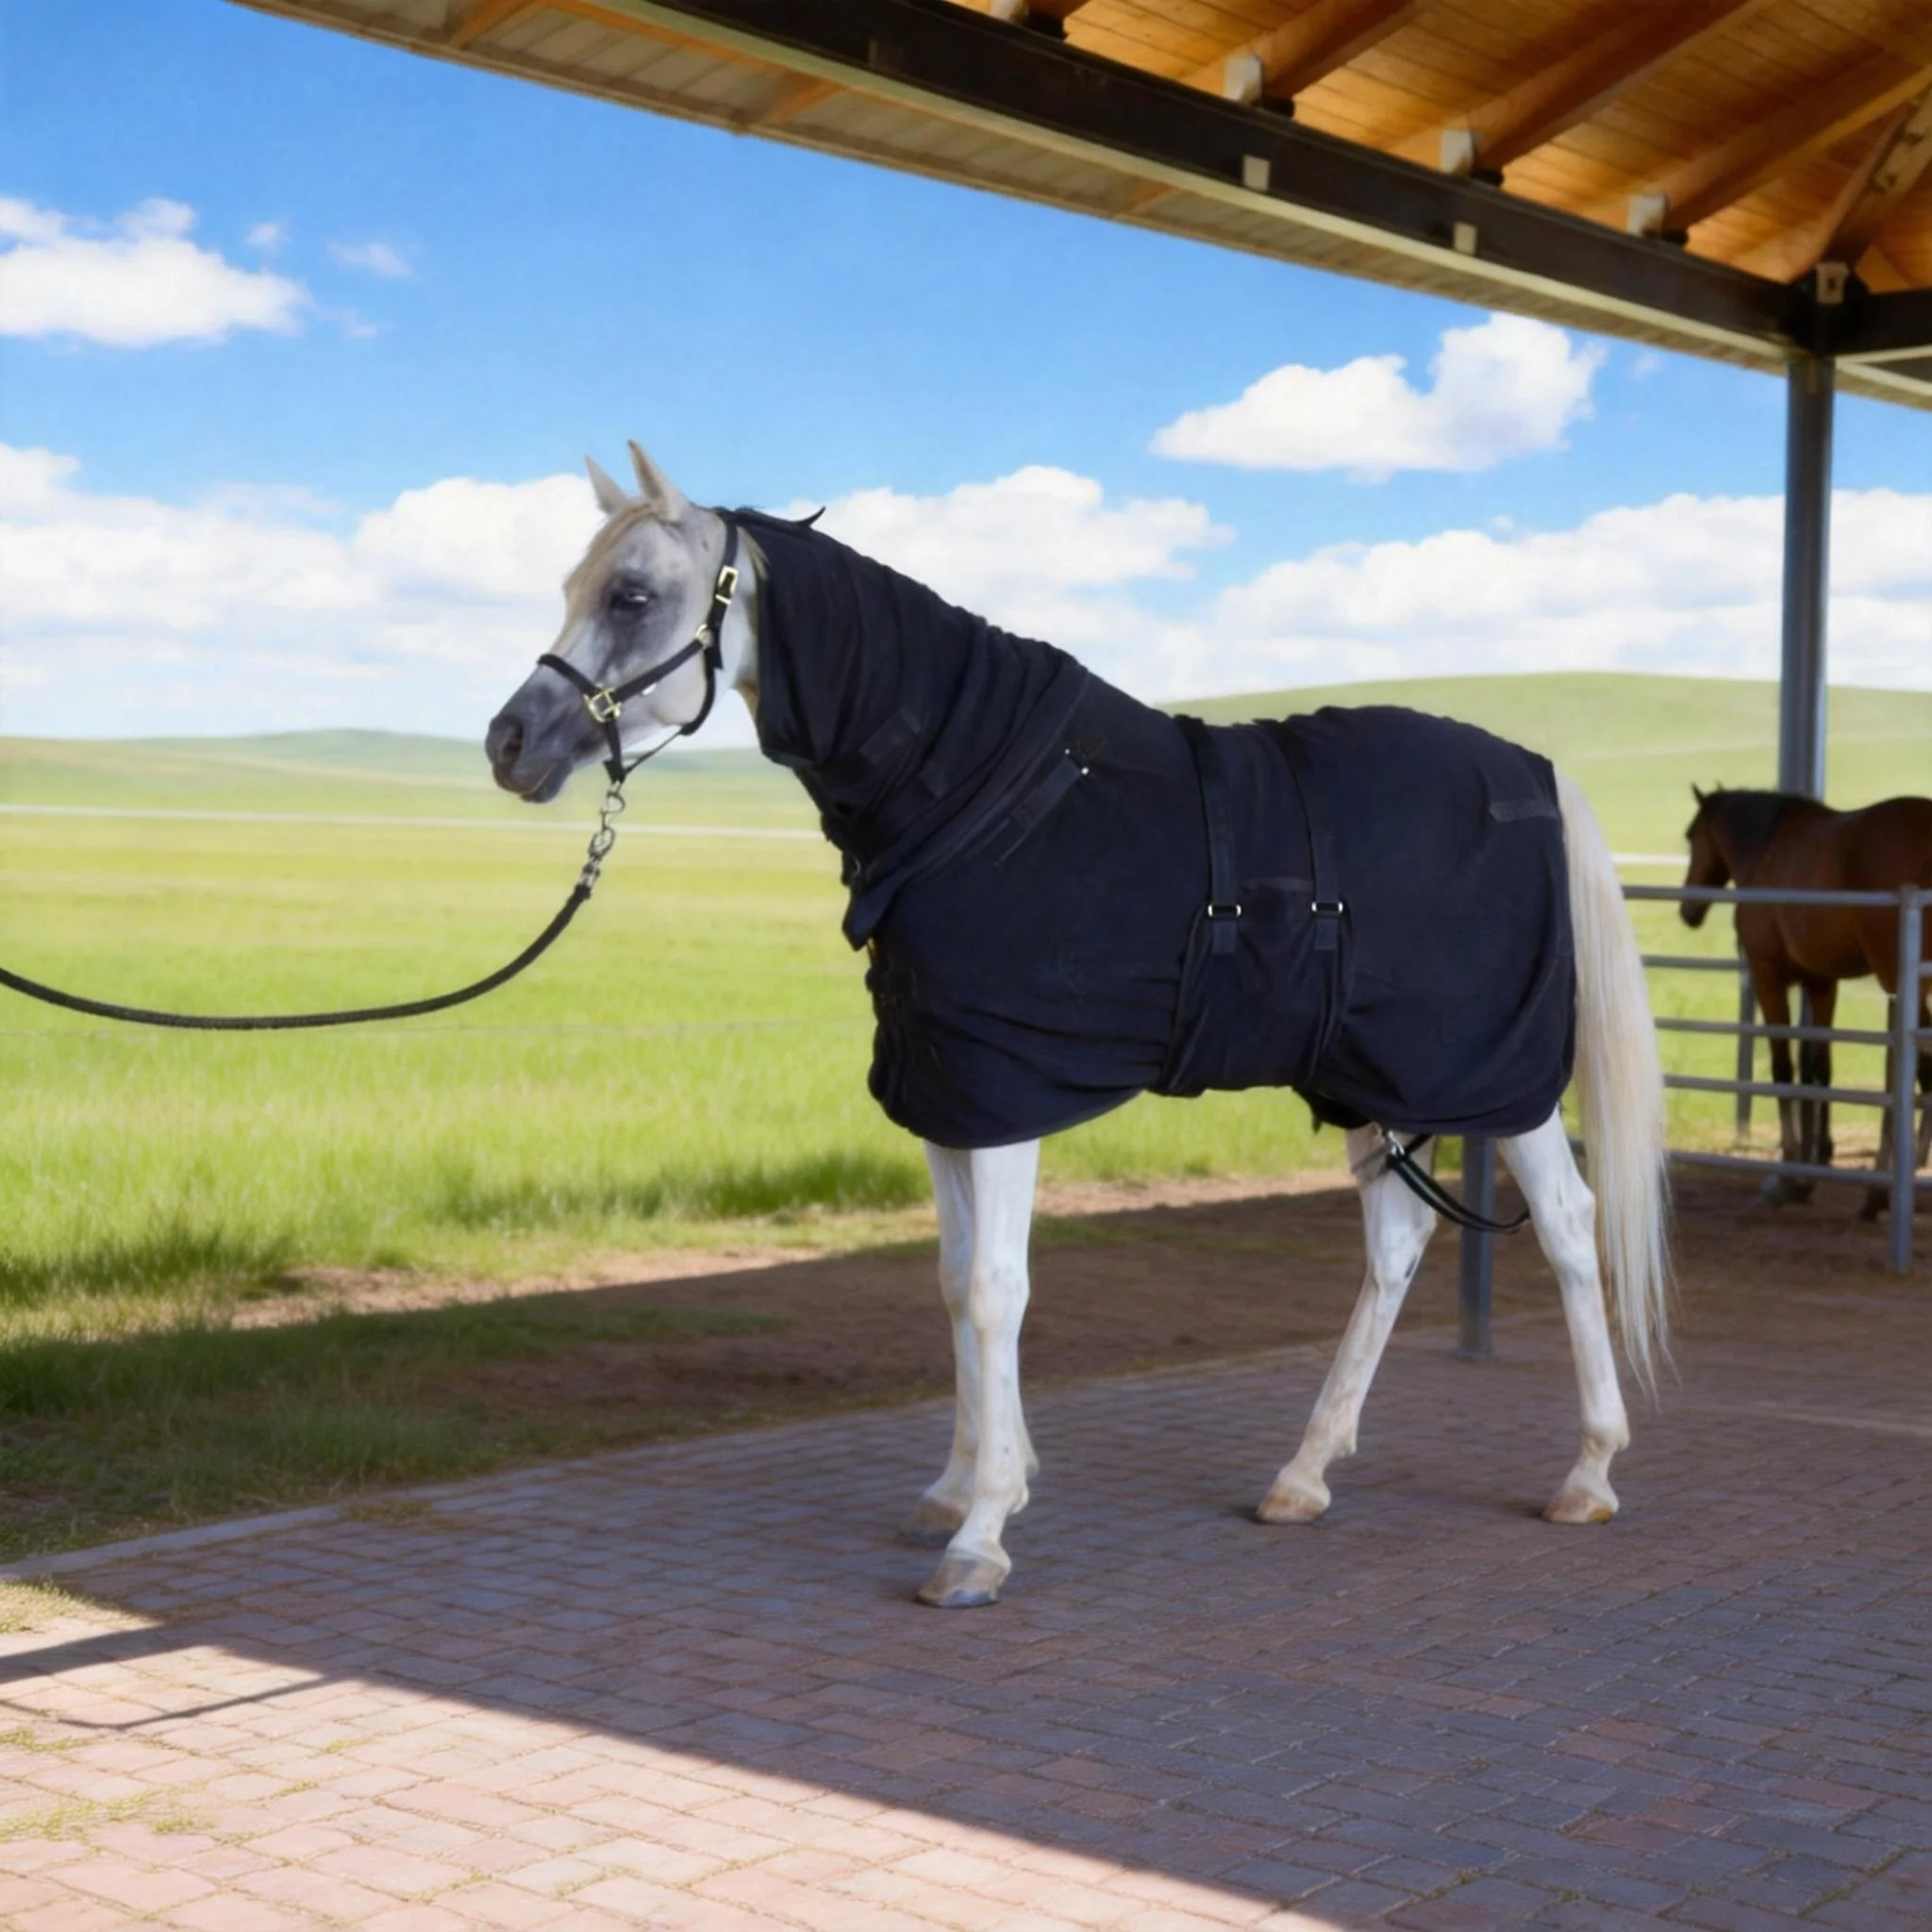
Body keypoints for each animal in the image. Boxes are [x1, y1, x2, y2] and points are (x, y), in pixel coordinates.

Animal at [486, 441, 1670, 1610]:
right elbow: (952, 1282)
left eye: (632, 594)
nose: (508, 742)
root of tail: (1534, 774)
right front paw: (958, 1484)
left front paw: (982, 1531)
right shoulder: (945, 1095)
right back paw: (1301, 1474)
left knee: (1568, 1225)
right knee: (1394, 1240)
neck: (978, 796)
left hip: (1491, 1078)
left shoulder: (1004, 1097)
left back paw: (1588, 1471)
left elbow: (993, 1290)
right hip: (1366, 1075)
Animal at [1682, 785, 1932, 1218]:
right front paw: (1816, 1165)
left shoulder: (1768, 977)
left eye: (1693, 837)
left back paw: (1892, 1184)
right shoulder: (1820, 982)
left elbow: (1785, 1067)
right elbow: (1818, 1068)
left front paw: (1788, 1175)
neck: (1765, 848)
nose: (1689, 911)